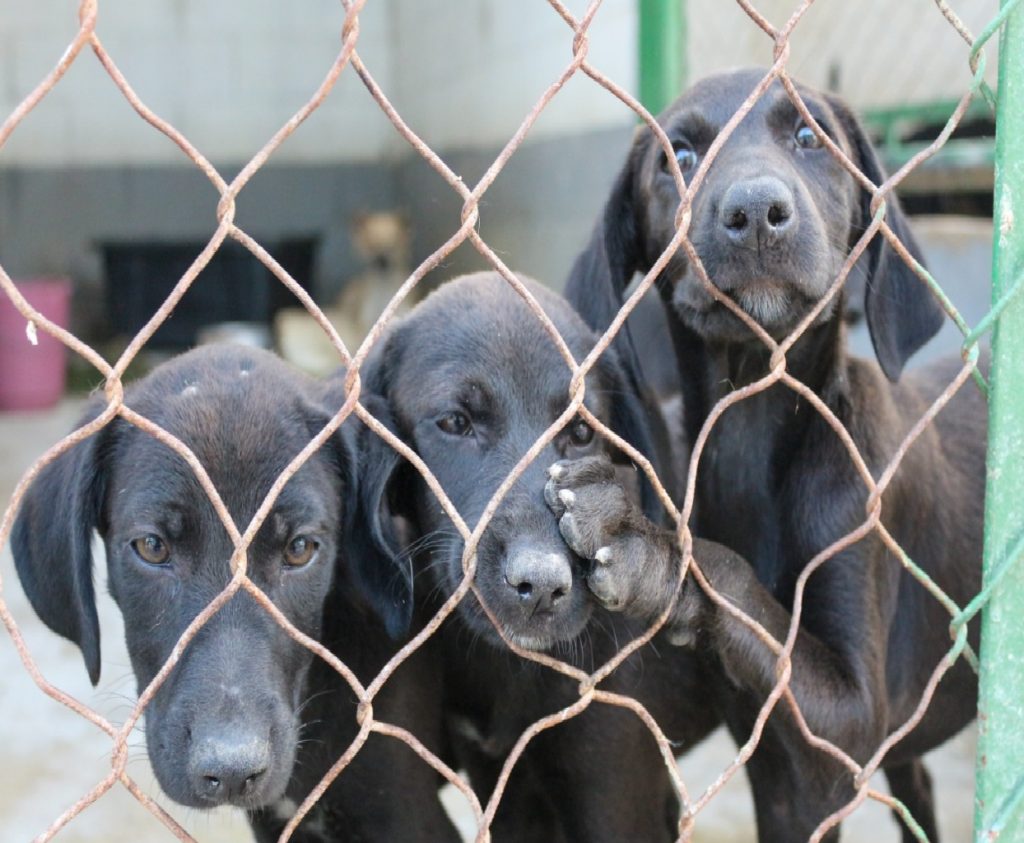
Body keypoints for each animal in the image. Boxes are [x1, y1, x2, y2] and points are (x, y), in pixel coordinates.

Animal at [352, 274, 737, 839]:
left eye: (581, 433)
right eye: (455, 422)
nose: (541, 586)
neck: (511, 671)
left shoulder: (612, 783)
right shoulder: (504, 783)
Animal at [557, 70, 987, 843]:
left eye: (810, 136)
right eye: (679, 156)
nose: (756, 211)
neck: (751, 439)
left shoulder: (847, 722)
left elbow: (736, 580)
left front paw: (645, 543)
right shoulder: (777, 768)